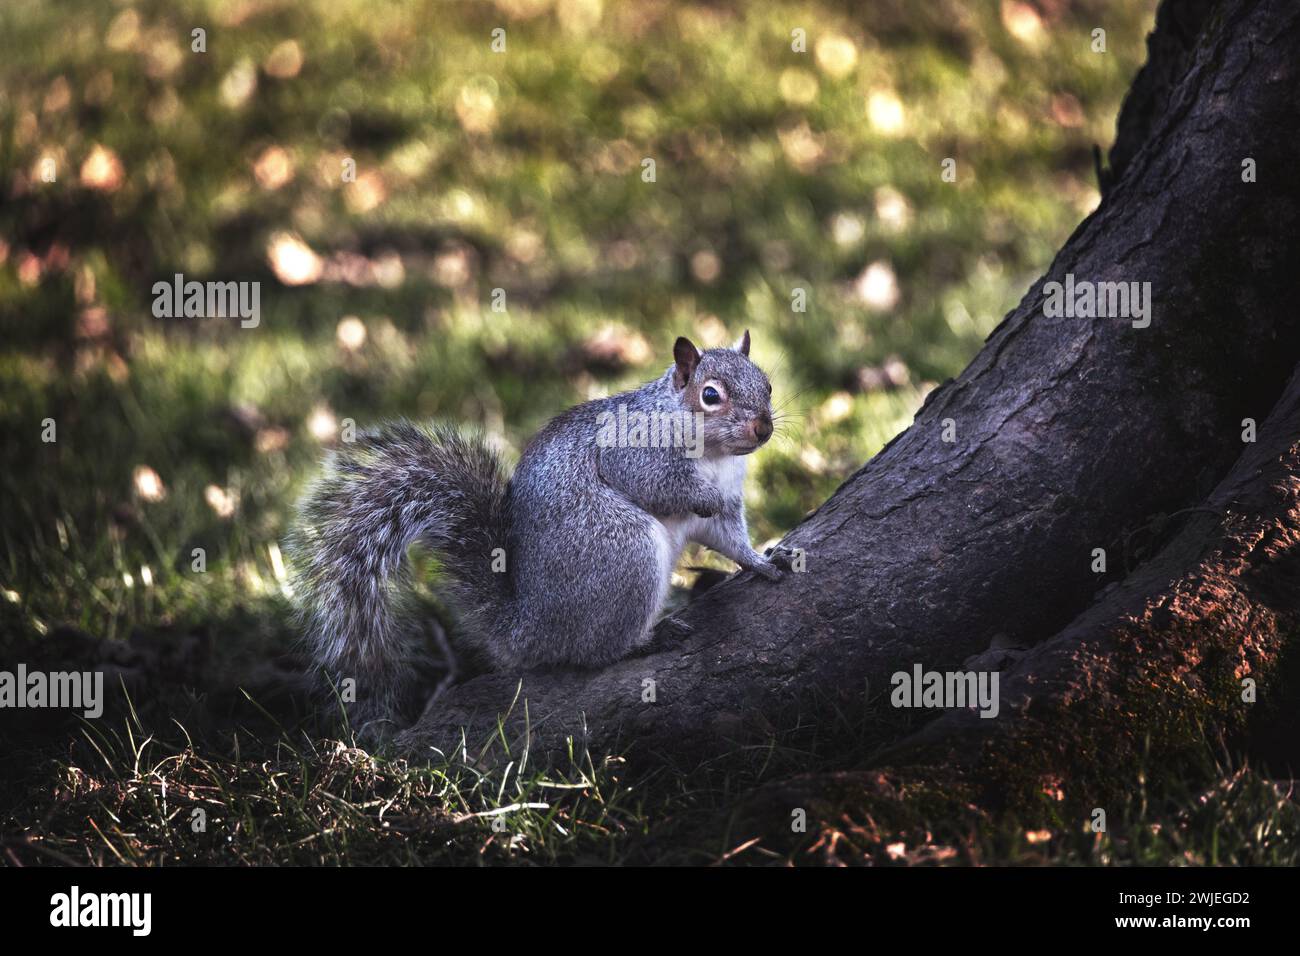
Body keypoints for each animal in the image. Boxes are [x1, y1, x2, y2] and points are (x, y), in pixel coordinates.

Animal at [287, 331, 794, 728]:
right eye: (710, 395)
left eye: (767, 384)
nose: (763, 429)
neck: (713, 455)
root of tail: (527, 629)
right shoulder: (631, 451)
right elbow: (654, 482)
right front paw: (702, 498)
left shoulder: (728, 503)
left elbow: (729, 538)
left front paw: (764, 561)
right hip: (624, 549)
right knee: (593, 651)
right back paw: (646, 640)